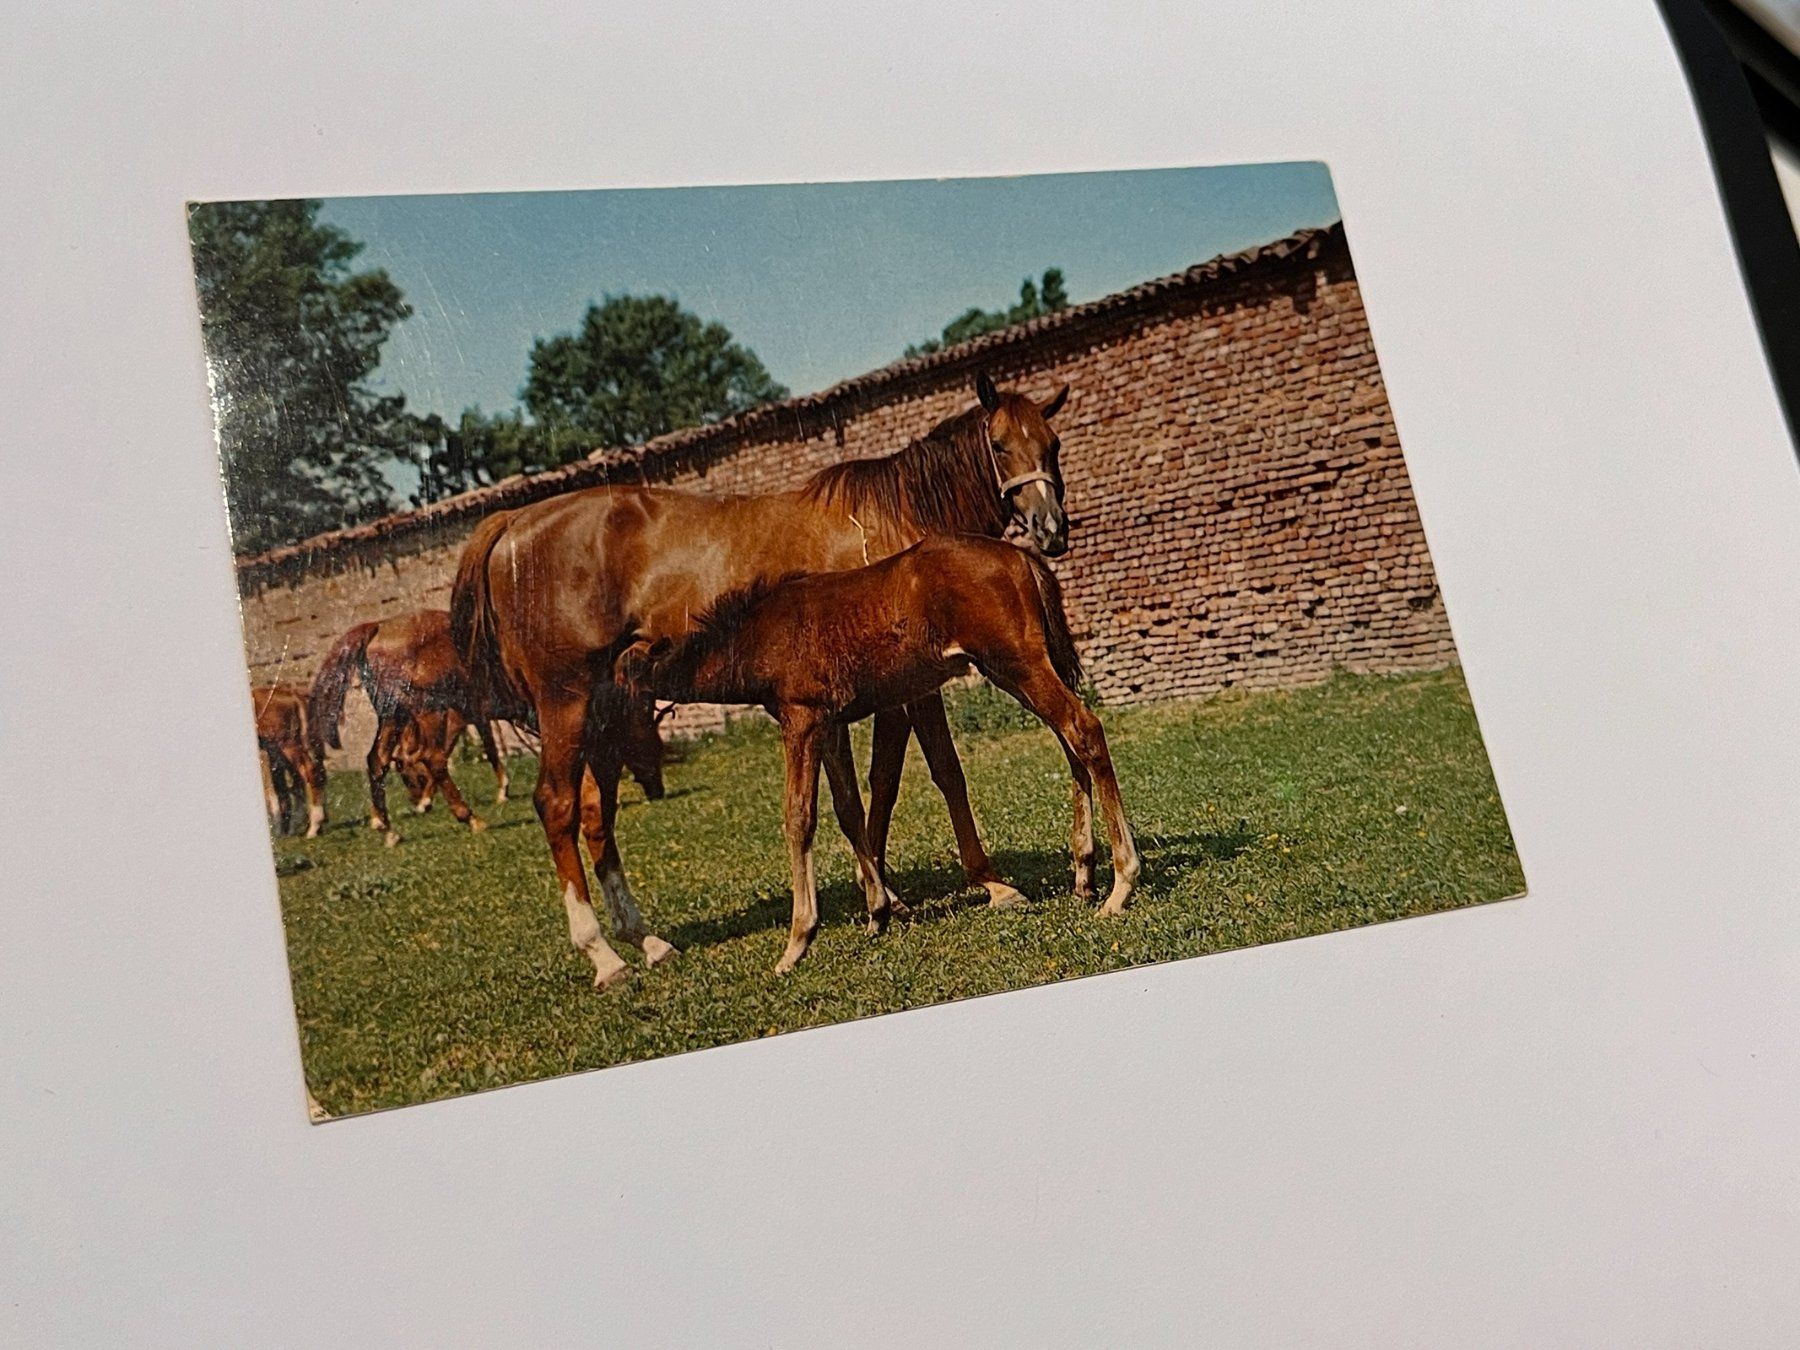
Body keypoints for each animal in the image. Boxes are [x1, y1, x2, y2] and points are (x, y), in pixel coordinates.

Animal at [309, 608, 506, 835]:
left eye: (410, 778)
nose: (414, 800)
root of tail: (378, 627)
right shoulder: (465, 717)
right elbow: (486, 748)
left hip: (393, 715)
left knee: (377, 760)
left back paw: (388, 829)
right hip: (425, 711)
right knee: (432, 757)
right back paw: (469, 818)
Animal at [452, 372, 1071, 989]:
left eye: (1053, 444)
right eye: (999, 445)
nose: (1051, 529)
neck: (892, 520)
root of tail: (512, 525)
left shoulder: (874, 697)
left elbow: (877, 784)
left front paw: (883, 894)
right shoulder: (913, 688)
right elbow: (942, 772)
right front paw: (987, 882)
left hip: (605, 714)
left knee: (593, 813)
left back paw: (647, 941)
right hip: (566, 703)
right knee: (556, 805)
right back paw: (602, 954)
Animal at [617, 534, 1140, 974]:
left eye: (624, 687)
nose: (612, 736)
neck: (759, 633)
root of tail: (1020, 554)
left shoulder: (801, 720)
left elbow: (799, 817)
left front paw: (797, 942)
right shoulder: (830, 725)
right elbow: (849, 809)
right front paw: (877, 912)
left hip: (1018, 663)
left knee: (1084, 731)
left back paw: (1121, 885)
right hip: (1011, 670)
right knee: (1069, 742)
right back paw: (1084, 873)